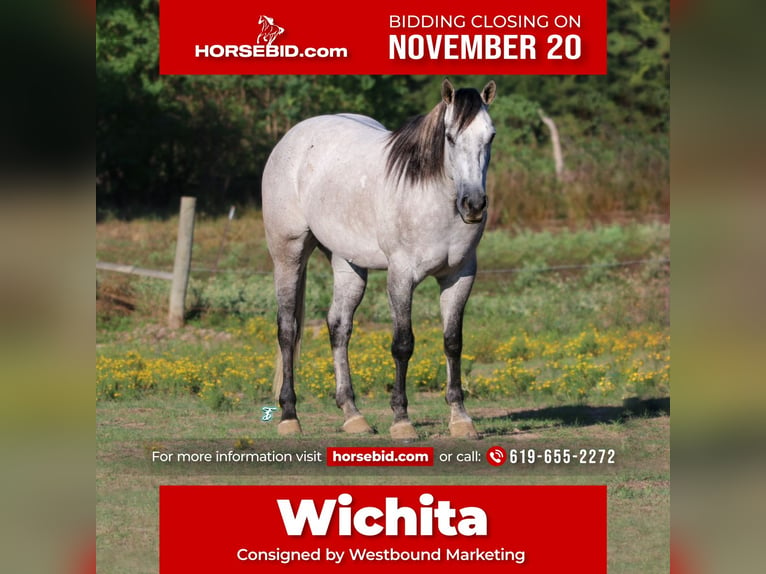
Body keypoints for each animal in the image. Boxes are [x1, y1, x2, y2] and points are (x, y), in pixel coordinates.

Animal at [264, 80, 500, 440]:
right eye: (449, 137)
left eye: (491, 136)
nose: (473, 204)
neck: (429, 195)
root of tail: (292, 137)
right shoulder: (401, 276)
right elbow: (403, 344)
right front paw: (402, 420)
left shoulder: (460, 276)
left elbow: (453, 342)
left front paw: (461, 419)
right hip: (288, 254)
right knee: (288, 329)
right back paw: (290, 416)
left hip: (347, 263)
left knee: (339, 326)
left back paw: (353, 415)